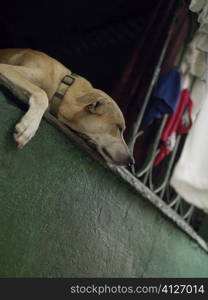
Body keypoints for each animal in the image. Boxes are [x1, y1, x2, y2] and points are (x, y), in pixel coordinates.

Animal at [0, 49, 133, 166]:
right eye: (119, 127)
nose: (132, 161)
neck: (63, 87)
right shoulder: (6, 68)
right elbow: (42, 94)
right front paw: (29, 126)